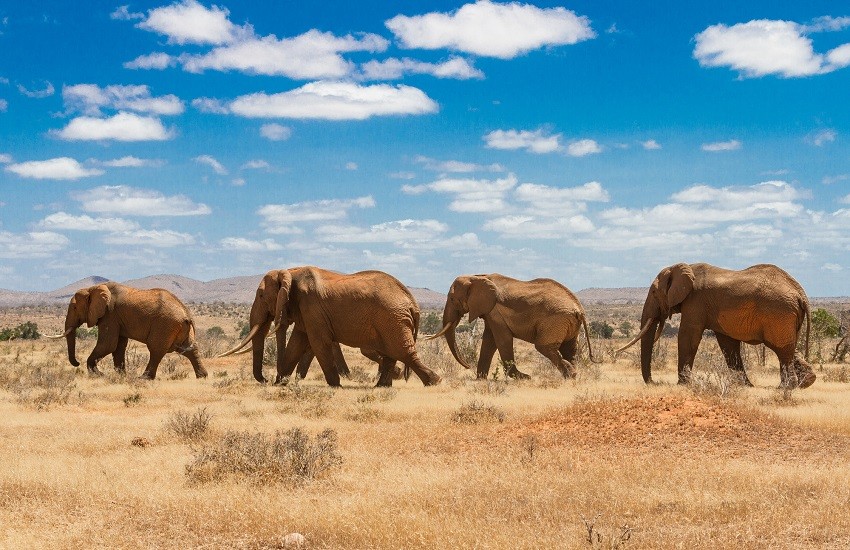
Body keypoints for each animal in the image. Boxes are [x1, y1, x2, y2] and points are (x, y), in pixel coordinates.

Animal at [51, 282, 207, 382]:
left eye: (74, 308)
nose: (76, 363)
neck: (92, 288)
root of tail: (186, 313)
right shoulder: (117, 319)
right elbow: (118, 347)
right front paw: (121, 376)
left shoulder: (110, 315)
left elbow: (108, 344)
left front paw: (99, 375)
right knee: (189, 349)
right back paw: (202, 377)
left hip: (165, 325)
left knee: (156, 349)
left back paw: (143, 379)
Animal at [215, 268, 440, 388]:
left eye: (261, 295)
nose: (267, 380)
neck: (290, 271)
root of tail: (412, 301)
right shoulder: (305, 311)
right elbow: (297, 343)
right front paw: (281, 384)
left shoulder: (312, 306)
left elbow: (318, 342)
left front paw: (335, 385)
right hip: (391, 320)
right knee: (392, 352)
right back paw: (381, 386)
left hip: (392, 318)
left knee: (402, 351)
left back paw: (434, 381)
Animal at [428, 274, 592, 380]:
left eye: (452, 299)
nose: (468, 366)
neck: (476, 276)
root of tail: (579, 309)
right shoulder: (490, 312)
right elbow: (489, 340)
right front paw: (481, 379)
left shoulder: (495, 311)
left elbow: (502, 340)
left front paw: (523, 378)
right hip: (567, 322)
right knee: (569, 348)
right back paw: (573, 376)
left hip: (555, 321)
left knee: (544, 347)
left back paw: (570, 375)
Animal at [616, 264, 816, 390]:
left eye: (653, 292)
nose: (653, 382)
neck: (683, 267)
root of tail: (800, 293)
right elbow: (727, 344)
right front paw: (745, 385)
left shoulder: (695, 301)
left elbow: (688, 335)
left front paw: (682, 384)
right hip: (787, 316)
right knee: (790, 347)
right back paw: (806, 382)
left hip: (778, 313)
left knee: (782, 349)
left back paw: (785, 387)